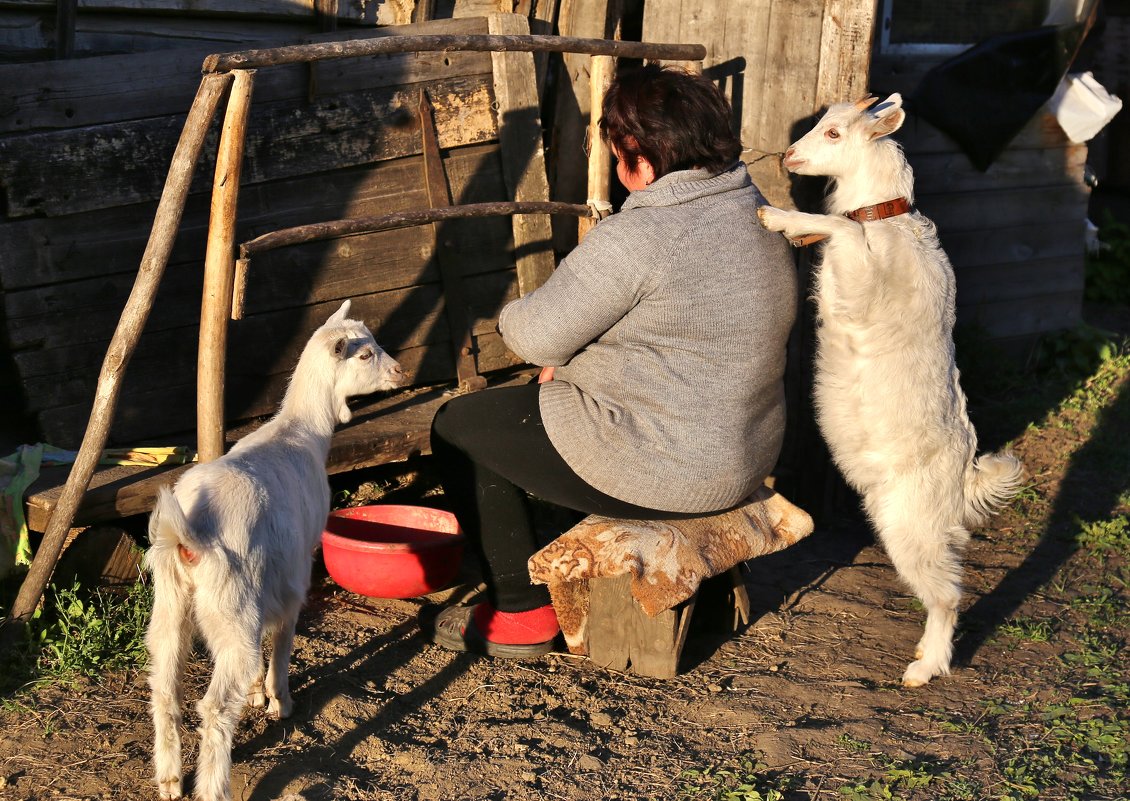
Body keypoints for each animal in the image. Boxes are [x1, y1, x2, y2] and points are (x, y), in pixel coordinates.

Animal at [142, 300, 406, 799]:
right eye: (365, 354)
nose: (399, 372)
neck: (300, 433)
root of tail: (190, 533)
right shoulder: (296, 568)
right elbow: (283, 636)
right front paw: (278, 700)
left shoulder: (269, 578)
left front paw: (257, 694)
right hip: (229, 606)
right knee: (213, 706)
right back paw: (213, 787)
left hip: (170, 604)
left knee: (164, 687)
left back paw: (169, 779)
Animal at [759, 92, 1026, 682]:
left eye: (834, 134)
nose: (788, 156)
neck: (885, 220)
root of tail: (965, 479)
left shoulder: (862, 289)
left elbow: (840, 229)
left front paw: (779, 215)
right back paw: (924, 657)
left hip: (914, 529)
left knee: (947, 594)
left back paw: (924, 670)